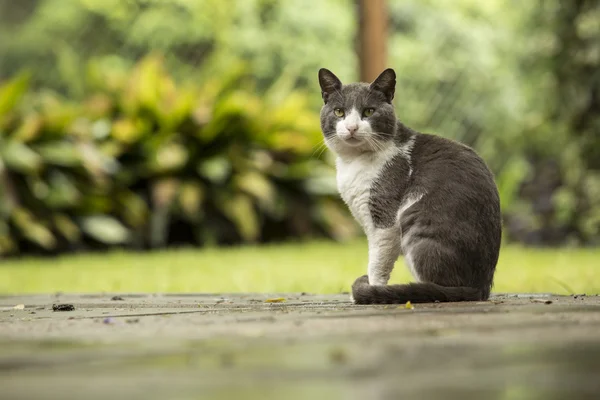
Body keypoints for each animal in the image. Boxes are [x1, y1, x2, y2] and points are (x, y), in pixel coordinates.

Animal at [318, 68, 502, 304]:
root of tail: (481, 287)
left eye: (368, 111)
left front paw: (372, 289)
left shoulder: (385, 218)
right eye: (339, 112)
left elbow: (378, 262)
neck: (354, 162)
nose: (351, 127)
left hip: (414, 223)